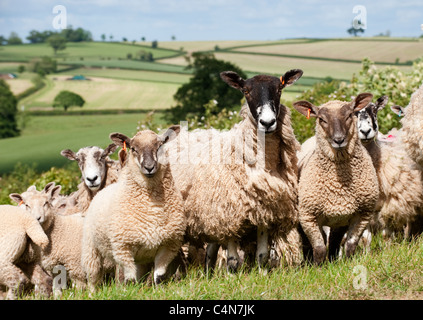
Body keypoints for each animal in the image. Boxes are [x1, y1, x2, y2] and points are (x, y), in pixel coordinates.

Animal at [82, 125, 186, 290]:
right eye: (133, 148)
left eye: (160, 146)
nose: (149, 167)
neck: (152, 207)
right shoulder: (123, 248)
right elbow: (129, 279)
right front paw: (128, 291)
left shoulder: (169, 245)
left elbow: (159, 276)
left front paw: (159, 290)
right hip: (90, 248)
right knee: (93, 276)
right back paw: (93, 292)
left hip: (142, 258)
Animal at [165, 69, 304, 272]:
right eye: (246, 91)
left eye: (279, 89)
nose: (267, 122)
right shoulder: (229, 213)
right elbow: (232, 260)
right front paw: (231, 275)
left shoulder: (264, 211)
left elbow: (262, 255)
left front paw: (262, 274)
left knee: (210, 250)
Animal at [294, 93, 380, 264]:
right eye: (321, 119)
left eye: (349, 115)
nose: (339, 140)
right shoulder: (308, 216)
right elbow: (319, 248)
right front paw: (317, 267)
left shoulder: (363, 214)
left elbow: (350, 245)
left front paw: (349, 263)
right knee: (309, 244)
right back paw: (308, 262)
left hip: (339, 220)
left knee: (334, 241)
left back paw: (333, 261)